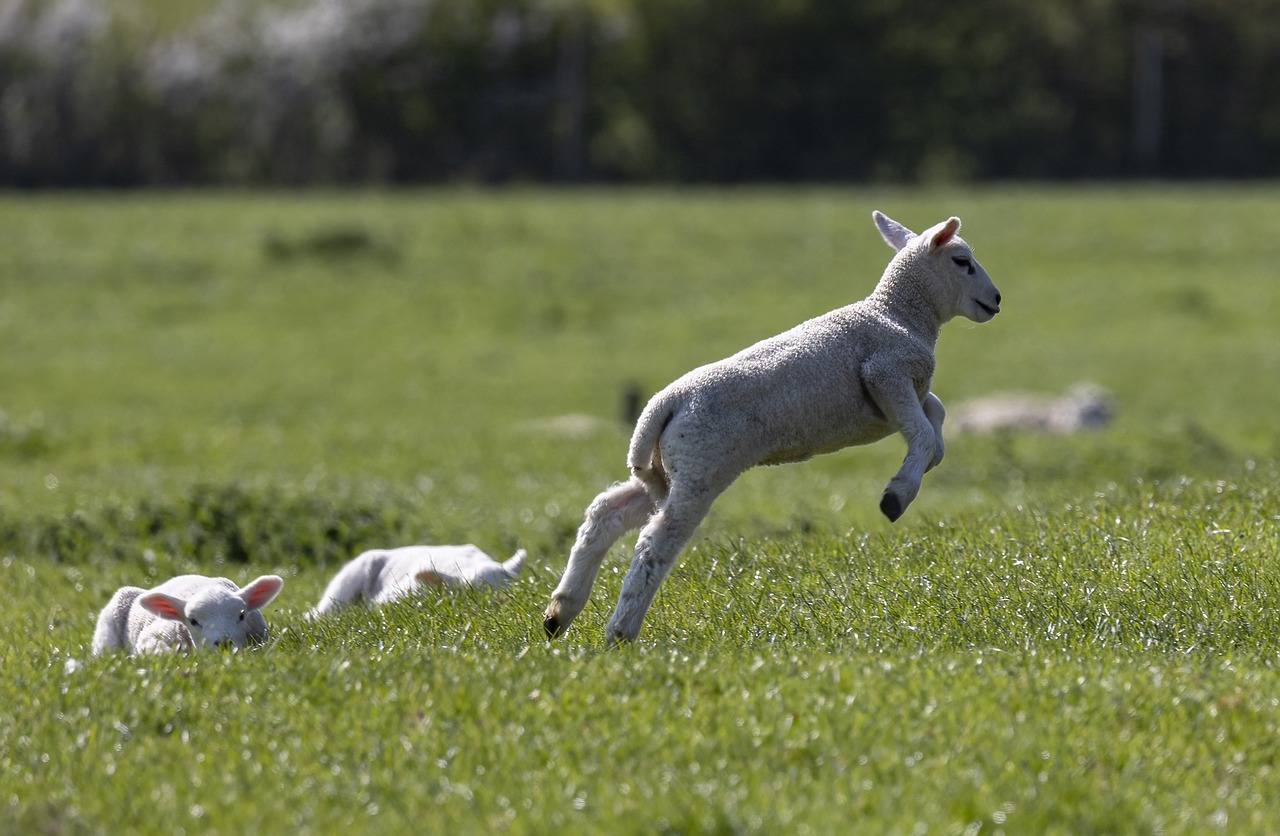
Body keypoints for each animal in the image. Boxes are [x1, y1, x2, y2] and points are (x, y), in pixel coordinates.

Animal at [545, 208, 1003, 645]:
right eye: (962, 262)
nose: (997, 299)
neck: (899, 314)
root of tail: (662, 405)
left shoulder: (895, 396)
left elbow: (935, 418)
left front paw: (920, 468)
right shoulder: (885, 372)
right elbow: (923, 432)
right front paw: (897, 495)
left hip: (667, 471)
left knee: (606, 512)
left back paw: (559, 612)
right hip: (701, 467)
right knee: (654, 542)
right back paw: (620, 632)